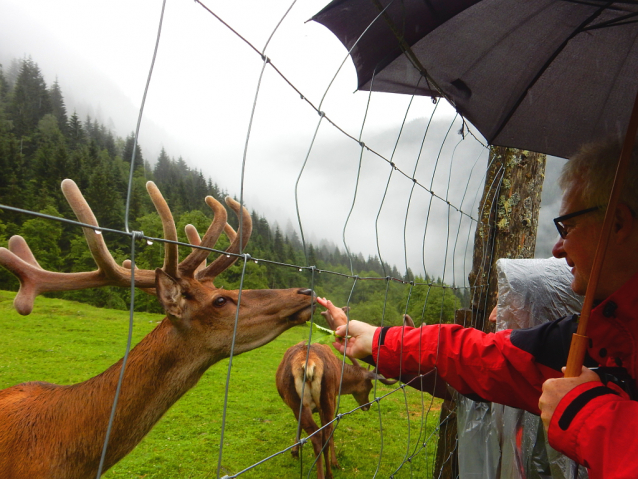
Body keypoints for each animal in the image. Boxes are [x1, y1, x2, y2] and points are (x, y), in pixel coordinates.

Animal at [276, 310, 398, 478]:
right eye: (369, 386)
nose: (367, 406)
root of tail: (309, 364)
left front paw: (295, 451)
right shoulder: (333, 396)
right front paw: (297, 452)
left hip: (306, 401)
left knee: (320, 435)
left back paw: (326, 472)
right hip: (322, 398)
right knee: (324, 434)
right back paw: (328, 472)